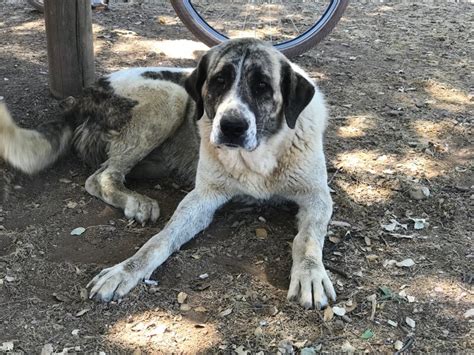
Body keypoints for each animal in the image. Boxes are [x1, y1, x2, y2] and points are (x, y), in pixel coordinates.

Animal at [1, 36, 338, 308]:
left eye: (262, 87)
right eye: (218, 82)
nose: (231, 126)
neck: (257, 156)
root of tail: (83, 95)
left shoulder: (317, 197)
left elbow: (308, 239)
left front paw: (310, 274)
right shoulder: (201, 199)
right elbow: (161, 239)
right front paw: (125, 270)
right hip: (171, 98)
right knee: (100, 177)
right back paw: (137, 201)